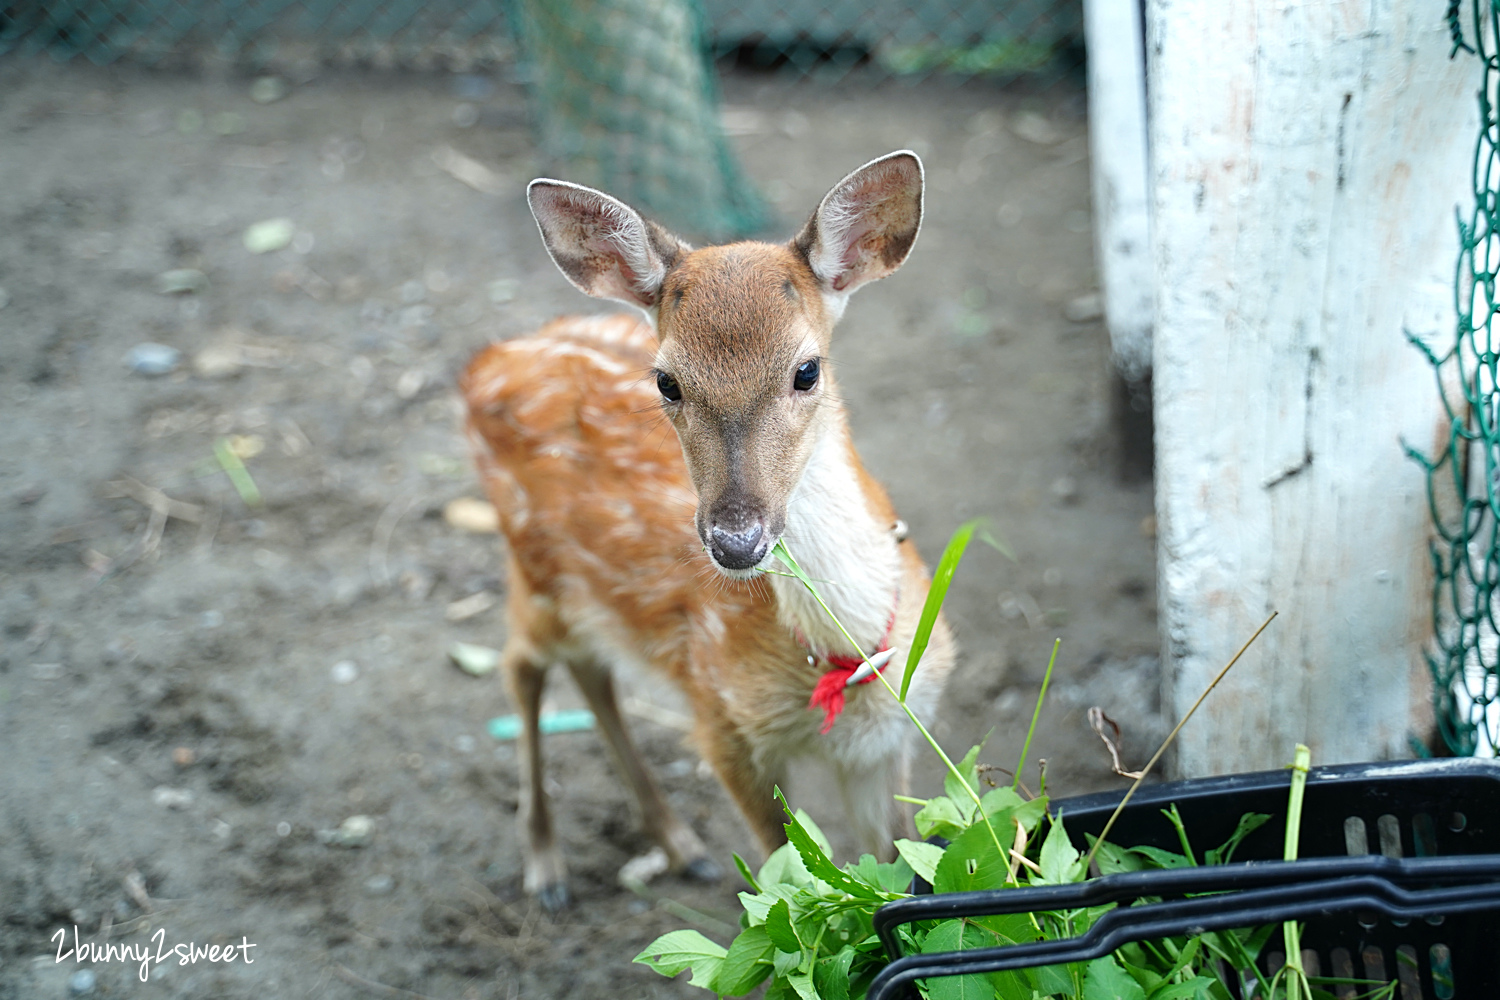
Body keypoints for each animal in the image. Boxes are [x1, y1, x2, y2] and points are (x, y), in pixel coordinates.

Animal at [465, 150, 960, 905]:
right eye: (666, 381)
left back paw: (678, 845)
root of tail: (488, 359)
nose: (735, 540)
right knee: (521, 664)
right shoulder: (722, 722)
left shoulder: (887, 741)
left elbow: (897, 875)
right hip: (533, 563)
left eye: (806, 370)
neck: (841, 660)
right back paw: (546, 864)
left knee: (591, 669)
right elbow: (780, 881)